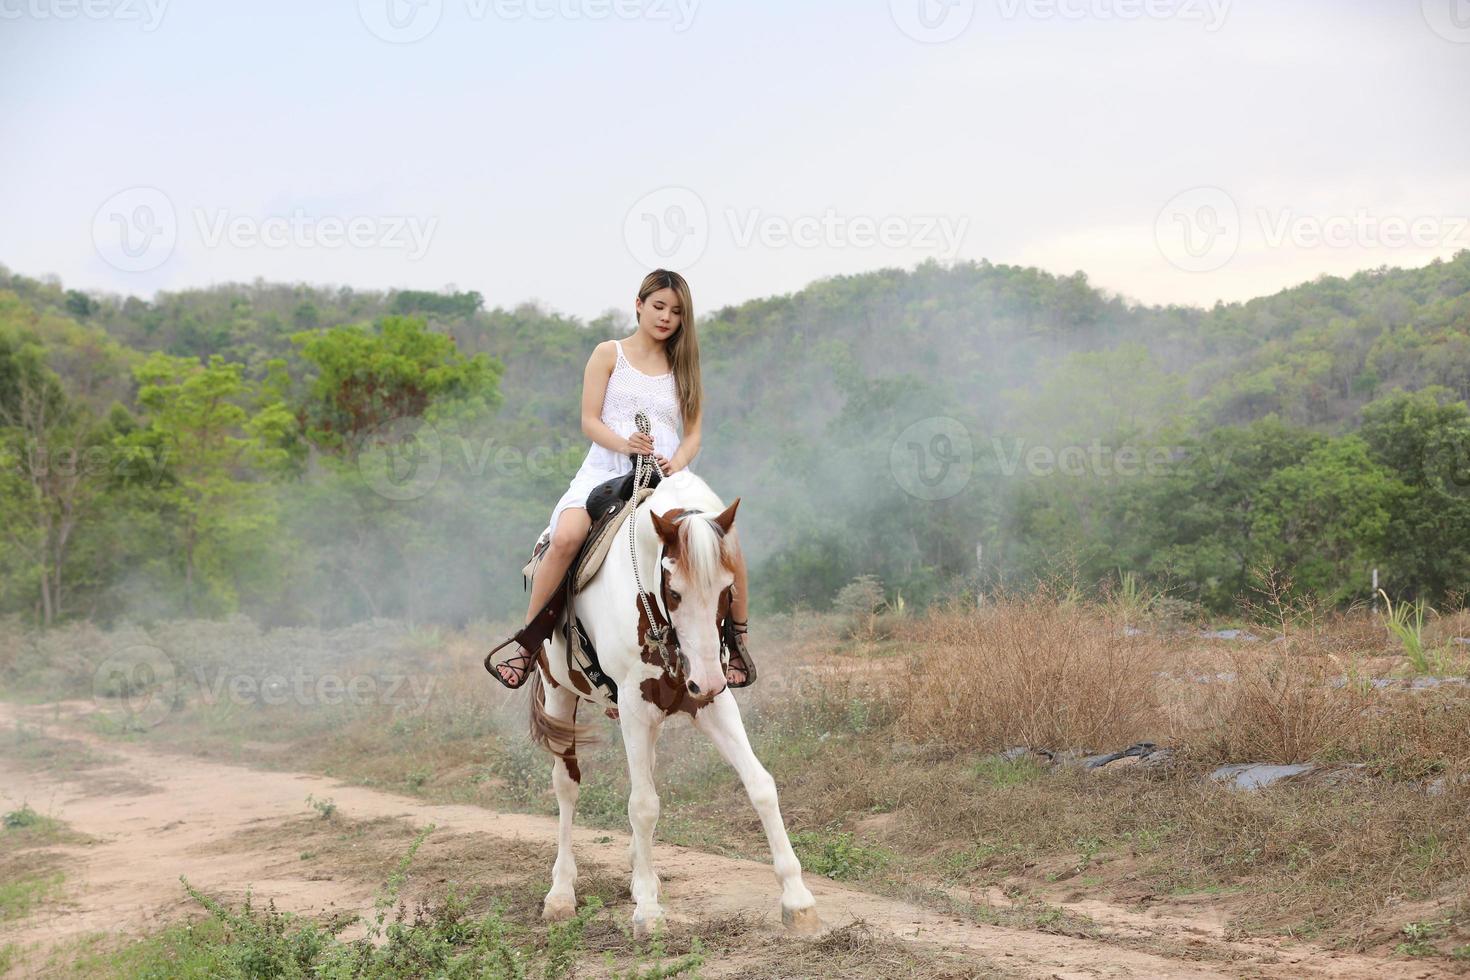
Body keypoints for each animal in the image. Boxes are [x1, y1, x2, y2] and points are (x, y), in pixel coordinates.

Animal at [526, 470, 829, 940]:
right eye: (673, 590)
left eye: (728, 587)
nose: (705, 679)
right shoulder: (636, 706)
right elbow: (643, 805)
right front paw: (648, 913)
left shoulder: (712, 705)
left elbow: (760, 785)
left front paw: (798, 900)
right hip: (561, 695)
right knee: (566, 785)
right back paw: (561, 893)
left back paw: (638, 876)